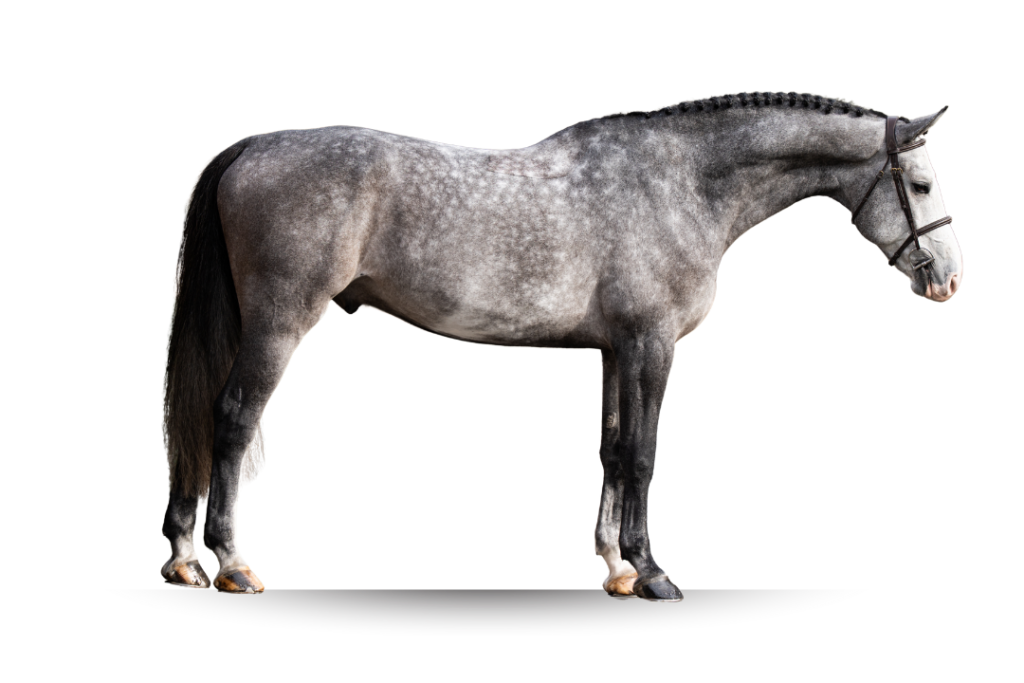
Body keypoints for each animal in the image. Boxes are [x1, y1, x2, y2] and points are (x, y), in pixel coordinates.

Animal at [161, 92, 961, 600]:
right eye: (921, 184)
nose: (948, 278)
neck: (681, 184)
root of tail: (256, 147)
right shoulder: (651, 345)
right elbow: (642, 454)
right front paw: (655, 572)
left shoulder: (613, 350)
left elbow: (611, 450)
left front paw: (617, 567)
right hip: (280, 322)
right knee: (231, 419)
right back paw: (231, 563)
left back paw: (185, 560)